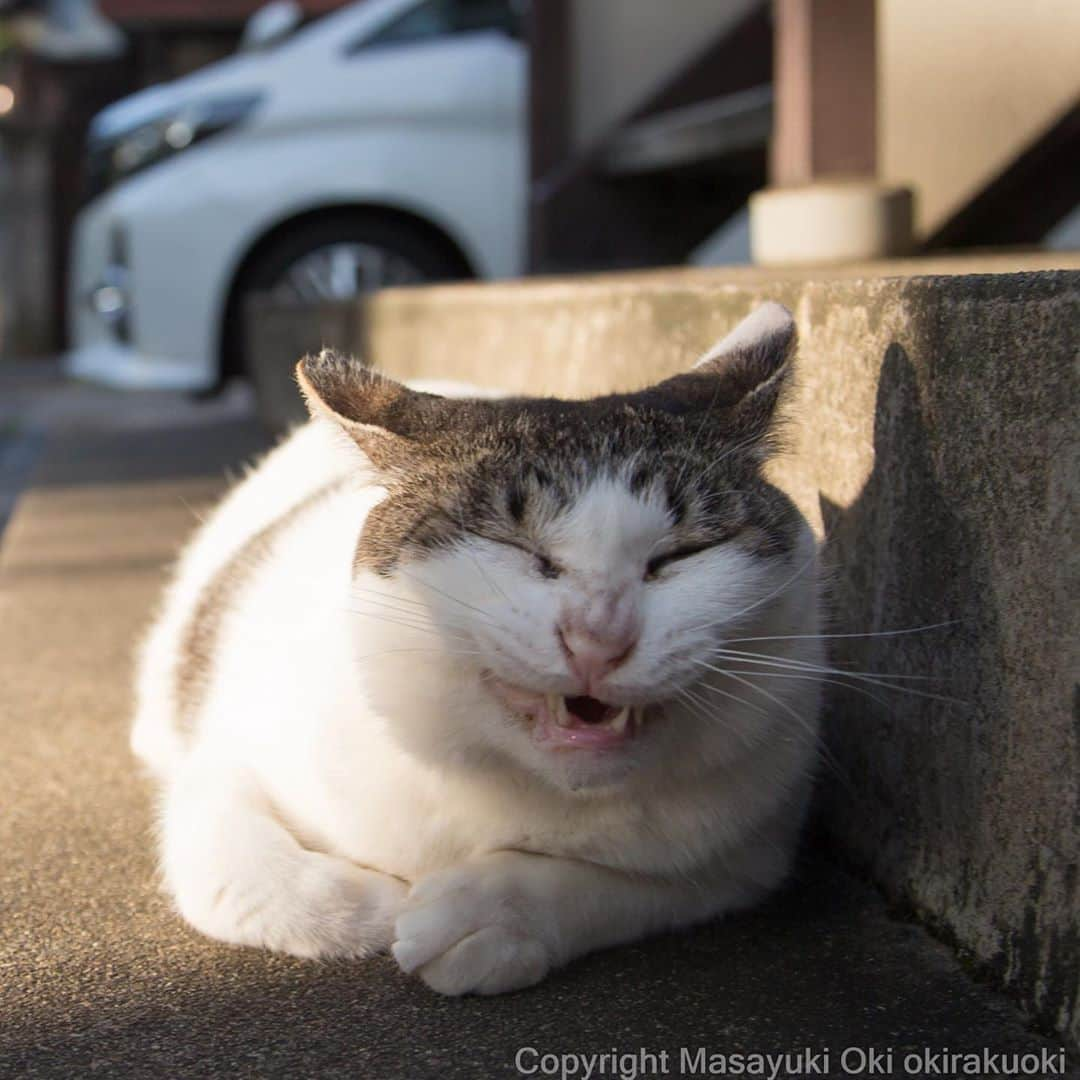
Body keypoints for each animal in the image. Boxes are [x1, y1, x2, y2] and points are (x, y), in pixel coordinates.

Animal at [137, 302, 825, 993]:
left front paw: (489, 916)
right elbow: (232, 863)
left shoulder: (750, 848)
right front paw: (374, 908)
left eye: (682, 555)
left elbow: (631, 884)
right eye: (515, 548)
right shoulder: (225, 765)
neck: (501, 786)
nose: (598, 638)